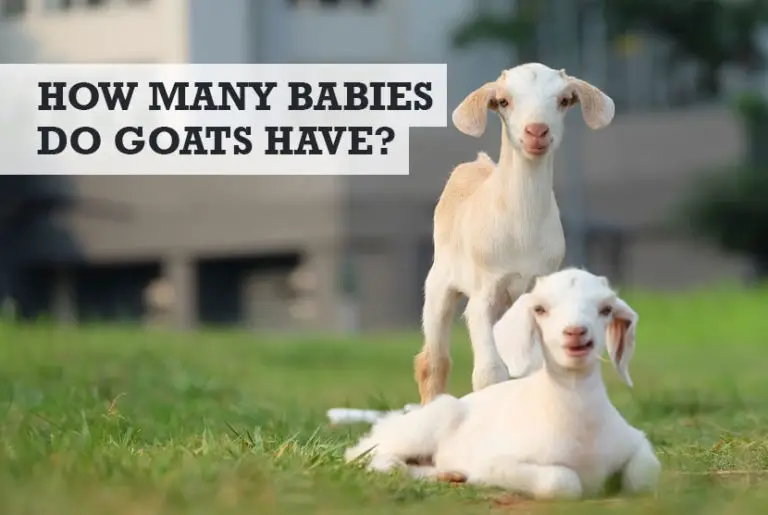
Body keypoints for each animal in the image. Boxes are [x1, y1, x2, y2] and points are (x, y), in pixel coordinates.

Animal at [342, 268, 661, 501]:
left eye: (606, 309)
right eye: (540, 309)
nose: (575, 333)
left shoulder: (635, 440)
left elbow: (644, 476)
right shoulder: (498, 461)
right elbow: (562, 482)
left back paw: (449, 475)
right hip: (422, 426)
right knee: (360, 454)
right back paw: (397, 466)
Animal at [415, 63, 616, 405]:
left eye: (564, 100)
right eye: (504, 101)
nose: (536, 131)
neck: (522, 229)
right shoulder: (484, 291)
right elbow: (489, 373)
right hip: (439, 283)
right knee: (433, 361)